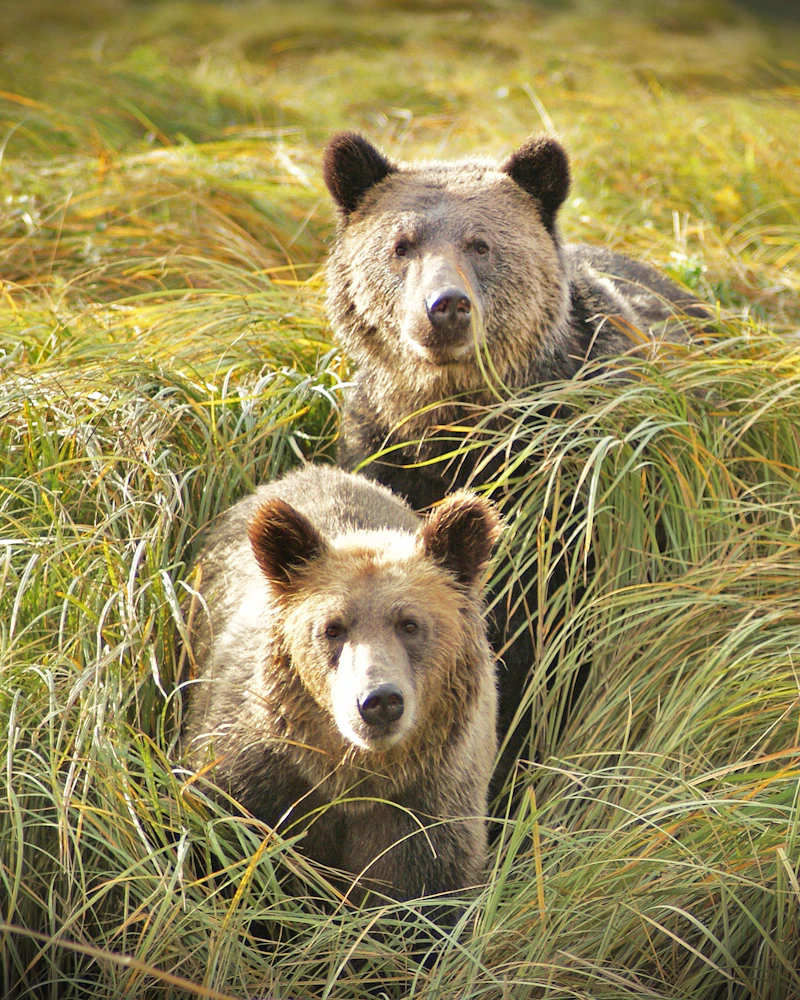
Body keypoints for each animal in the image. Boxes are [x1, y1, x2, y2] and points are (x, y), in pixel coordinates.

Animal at [182, 464, 500, 905]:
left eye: (410, 624)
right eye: (332, 628)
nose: (379, 700)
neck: (351, 778)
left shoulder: (428, 812)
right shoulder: (253, 783)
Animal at [322, 131, 711, 798]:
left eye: (481, 243)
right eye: (401, 244)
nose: (446, 306)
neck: (462, 428)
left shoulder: (573, 492)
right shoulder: (385, 454)